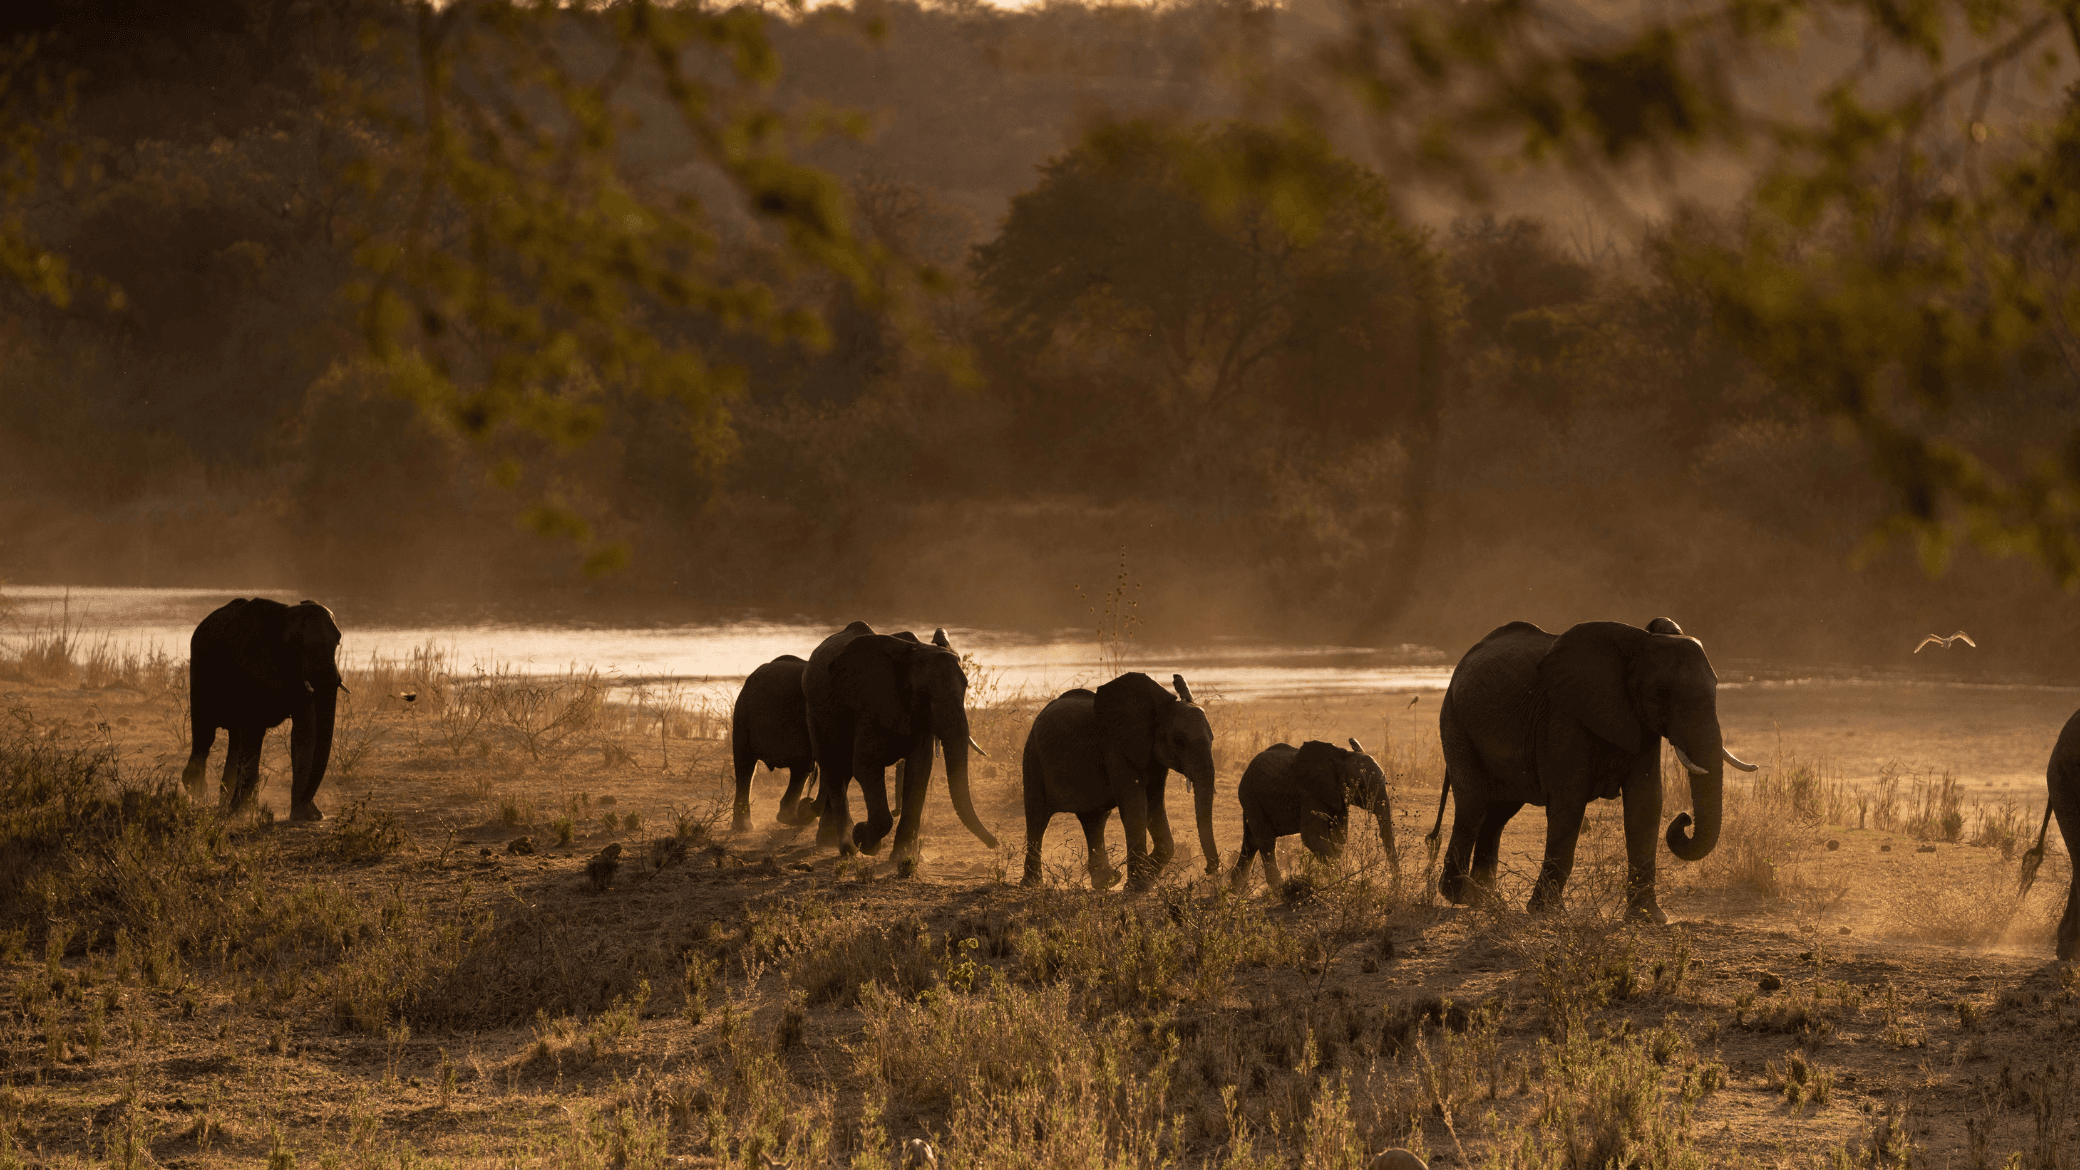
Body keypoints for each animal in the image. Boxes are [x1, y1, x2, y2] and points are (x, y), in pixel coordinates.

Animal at [180, 598, 345, 821]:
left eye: (337, 643)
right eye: (296, 646)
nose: (315, 811)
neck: (284, 618)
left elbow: (304, 732)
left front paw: (305, 815)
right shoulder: (251, 668)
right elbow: (254, 731)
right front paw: (241, 813)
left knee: (235, 740)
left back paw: (224, 804)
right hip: (200, 672)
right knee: (205, 736)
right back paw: (200, 794)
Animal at [802, 621, 997, 862]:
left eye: (965, 688)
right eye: (923, 694)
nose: (995, 844)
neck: (912, 654)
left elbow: (919, 770)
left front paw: (902, 857)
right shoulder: (871, 706)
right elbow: (866, 767)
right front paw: (863, 839)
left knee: (842, 769)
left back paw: (830, 841)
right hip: (813, 711)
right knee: (833, 766)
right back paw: (847, 848)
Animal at [1019, 672, 1219, 891]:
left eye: (1212, 740)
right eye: (1179, 741)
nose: (1209, 869)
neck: (1157, 709)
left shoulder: (1154, 758)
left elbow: (1155, 806)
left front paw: (1147, 875)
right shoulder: (1116, 751)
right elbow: (1136, 809)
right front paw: (1138, 886)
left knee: (1095, 820)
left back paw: (1108, 881)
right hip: (1033, 757)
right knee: (1037, 816)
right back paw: (1032, 885)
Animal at [1231, 738, 1396, 890]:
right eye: (1361, 786)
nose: (1394, 886)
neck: (1342, 759)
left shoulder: (1338, 798)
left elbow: (1338, 837)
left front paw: (1330, 879)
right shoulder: (1310, 792)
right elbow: (1312, 837)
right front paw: (1335, 882)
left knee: (1250, 843)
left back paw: (1234, 890)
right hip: (1251, 798)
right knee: (1266, 841)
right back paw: (1279, 889)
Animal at [1431, 618, 1756, 923]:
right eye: (1661, 694)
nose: (1685, 818)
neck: (1639, 643)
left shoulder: (1639, 723)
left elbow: (1646, 803)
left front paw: (1649, 918)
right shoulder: (1564, 717)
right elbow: (1569, 805)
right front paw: (1547, 914)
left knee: (1498, 815)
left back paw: (1485, 900)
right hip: (1455, 722)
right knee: (1473, 806)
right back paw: (1460, 895)